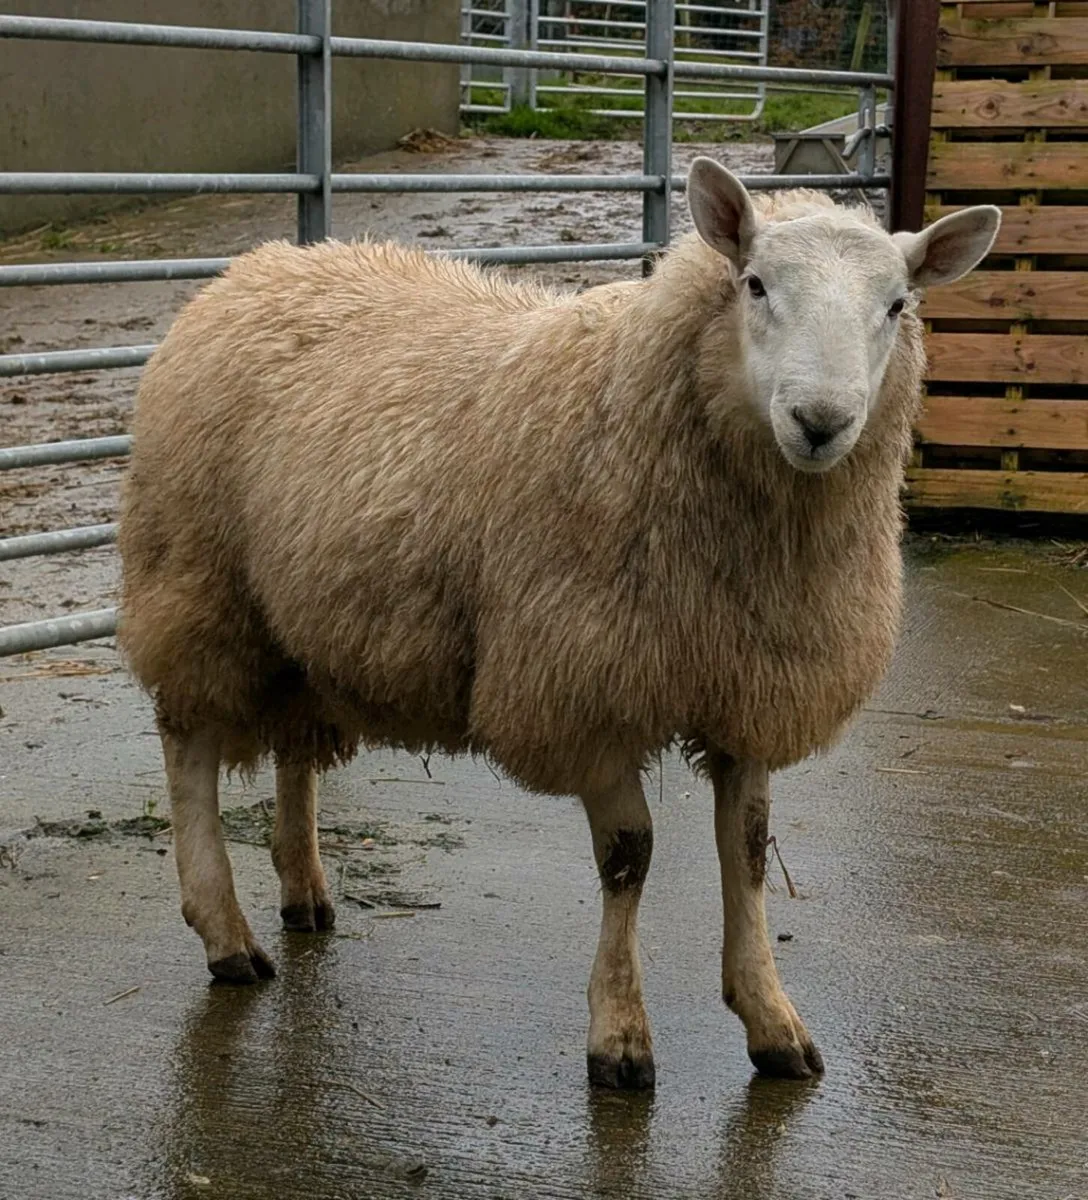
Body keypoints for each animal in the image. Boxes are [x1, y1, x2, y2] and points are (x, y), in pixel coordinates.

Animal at [118, 158, 999, 1089]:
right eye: (755, 285)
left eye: (897, 304)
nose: (821, 423)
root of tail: (258, 266)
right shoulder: (586, 686)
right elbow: (629, 855)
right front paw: (618, 1034)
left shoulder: (747, 686)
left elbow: (751, 850)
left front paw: (770, 1019)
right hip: (199, 585)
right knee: (188, 748)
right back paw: (224, 932)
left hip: (302, 622)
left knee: (293, 744)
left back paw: (304, 891)